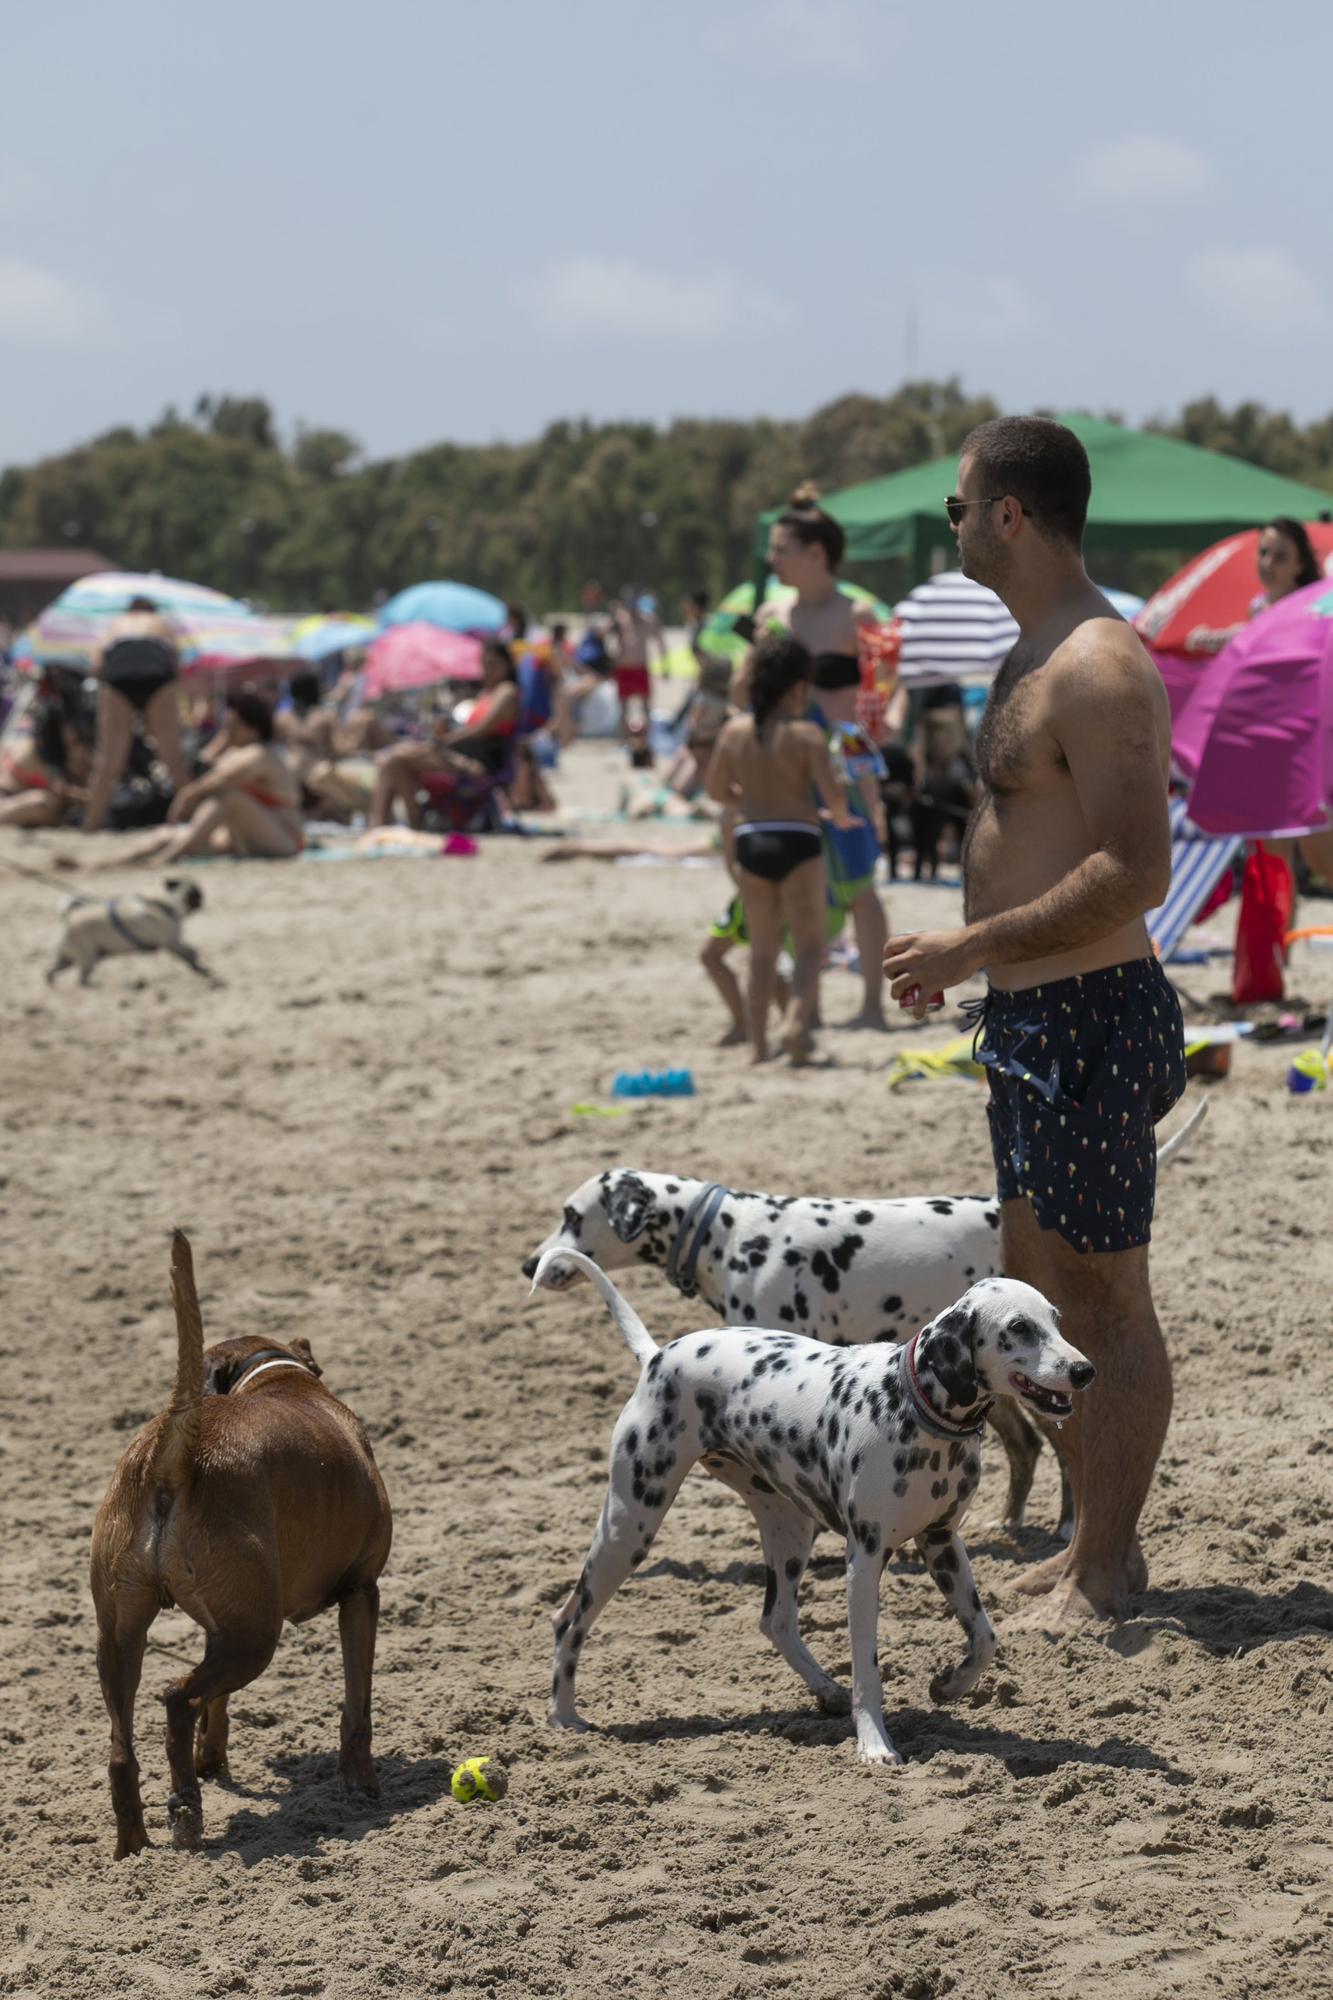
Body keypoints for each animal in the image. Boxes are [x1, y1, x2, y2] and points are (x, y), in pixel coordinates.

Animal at [87, 1232, 386, 1856]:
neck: (278, 1379)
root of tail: (174, 1450)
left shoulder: (217, 1627)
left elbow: (216, 1706)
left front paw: (212, 1757)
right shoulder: (361, 1593)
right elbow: (356, 1706)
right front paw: (360, 1783)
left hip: (122, 1639)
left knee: (124, 1749)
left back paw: (136, 1847)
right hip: (256, 1639)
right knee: (176, 1699)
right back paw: (185, 1807)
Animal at [528, 1256, 1088, 1760]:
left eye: (1056, 1319)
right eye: (1018, 1328)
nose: (1085, 1370)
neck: (910, 1407)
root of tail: (658, 1357)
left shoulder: (942, 1544)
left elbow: (985, 1638)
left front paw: (949, 1685)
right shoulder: (864, 1562)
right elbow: (868, 1670)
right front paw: (875, 1745)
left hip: (789, 1529)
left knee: (776, 1620)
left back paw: (826, 1691)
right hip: (630, 1526)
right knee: (568, 1619)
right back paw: (564, 1717)